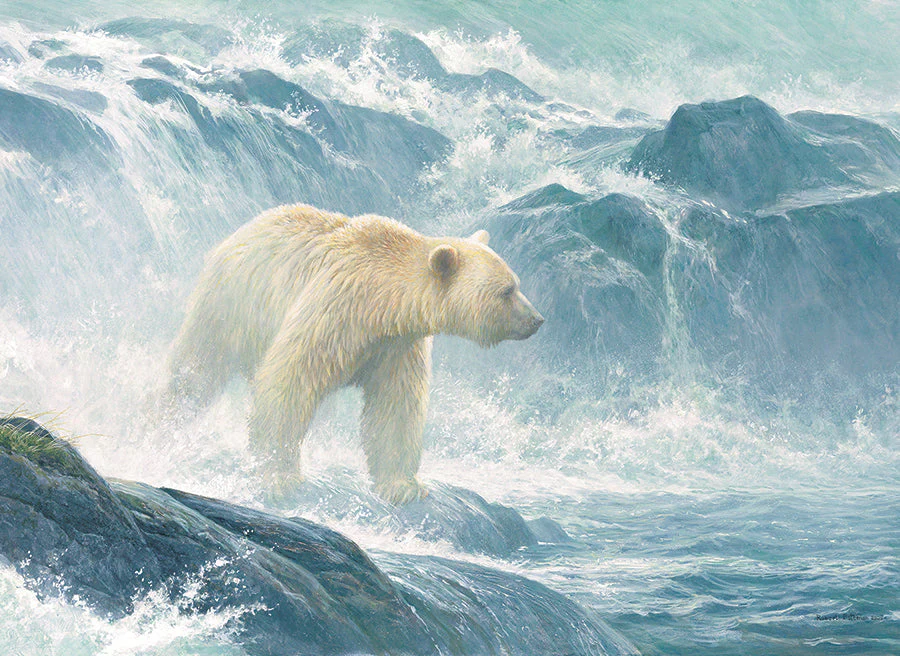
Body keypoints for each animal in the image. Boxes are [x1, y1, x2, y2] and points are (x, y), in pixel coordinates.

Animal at [167, 204, 543, 503]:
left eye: (517, 283)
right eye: (506, 291)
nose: (537, 320)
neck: (384, 302)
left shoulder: (396, 345)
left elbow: (396, 408)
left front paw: (403, 486)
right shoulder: (336, 309)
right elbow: (289, 381)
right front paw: (279, 477)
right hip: (229, 304)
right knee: (194, 369)